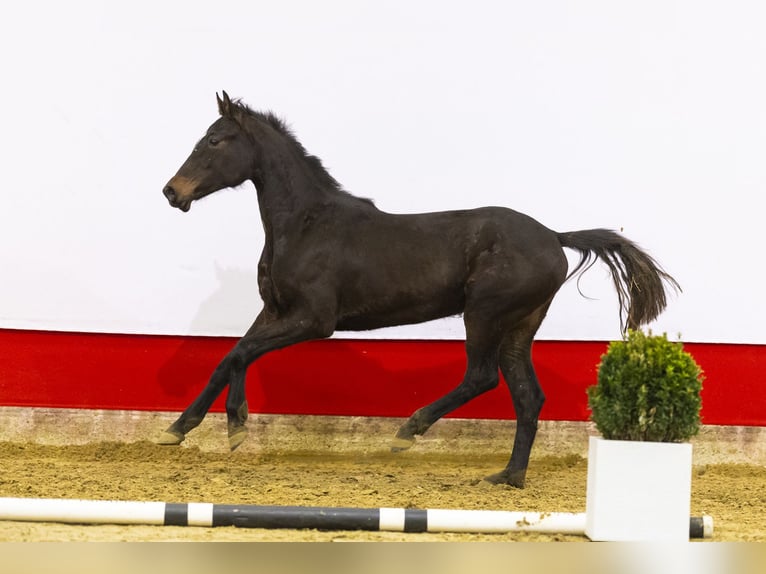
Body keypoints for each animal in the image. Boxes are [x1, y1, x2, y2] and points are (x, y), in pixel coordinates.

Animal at [160, 92, 680, 488]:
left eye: (215, 140)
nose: (172, 191)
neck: (307, 226)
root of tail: (554, 236)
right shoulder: (274, 310)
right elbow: (230, 356)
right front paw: (179, 429)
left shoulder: (314, 319)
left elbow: (240, 354)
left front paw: (235, 425)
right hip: (519, 327)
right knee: (528, 396)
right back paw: (507, 476)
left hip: (484, 314)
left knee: (482, 377)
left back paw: (407, 432)